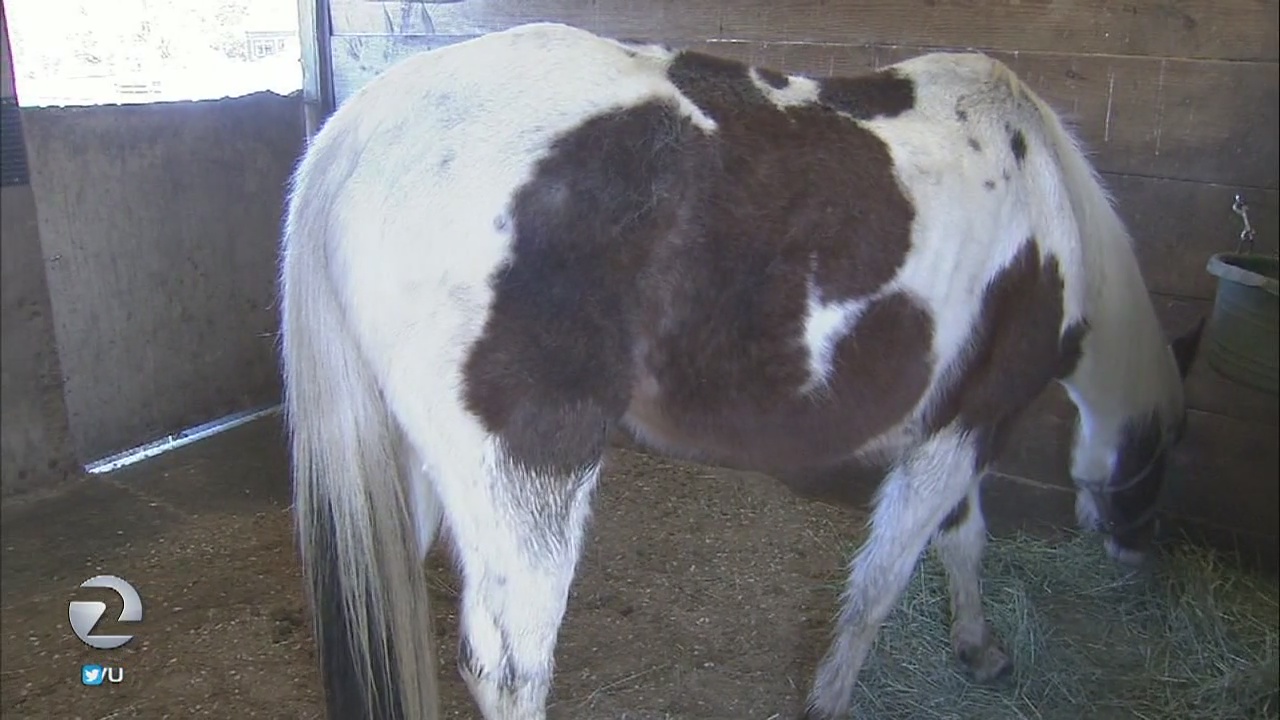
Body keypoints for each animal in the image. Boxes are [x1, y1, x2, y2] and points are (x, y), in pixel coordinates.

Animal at [279, 22, 1204, 720]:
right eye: (1161, 460)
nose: (1137, 555)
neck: (1050, 205)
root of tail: (358, 132)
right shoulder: (974, 422)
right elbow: (886, 578)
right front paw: (833, 698)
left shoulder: (950, 426)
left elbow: (960, 539)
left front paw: (978, 648)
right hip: (528, 477)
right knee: (510, 672)